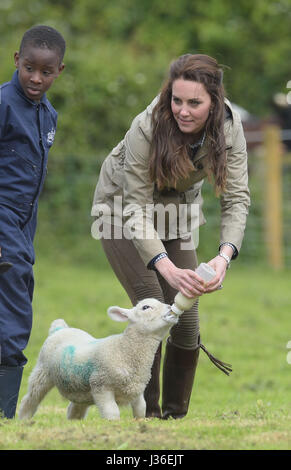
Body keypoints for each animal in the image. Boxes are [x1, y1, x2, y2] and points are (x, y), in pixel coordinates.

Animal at [18, 300, 178, 420]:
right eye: (146, 307)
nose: (170, 307)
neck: (124, 350)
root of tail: (59, 328)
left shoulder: (136, 390)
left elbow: (141, 410)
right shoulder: (101, 386)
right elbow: (112, 413)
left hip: (82, 390)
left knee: (74, 409)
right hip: (42, 372)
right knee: (30, 399)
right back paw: (23, 420)